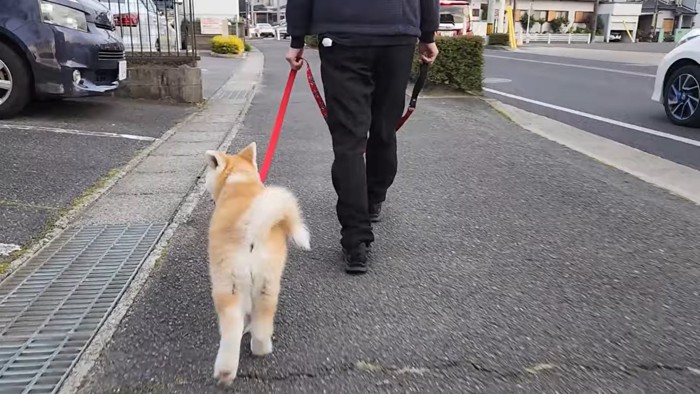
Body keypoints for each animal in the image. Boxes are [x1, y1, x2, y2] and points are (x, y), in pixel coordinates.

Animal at [204, 142, 310, 384]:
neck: (239, 180)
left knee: (232, 328)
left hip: (227, 285)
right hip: (267, 284)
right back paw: (261, 348)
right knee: (262, 324)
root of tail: (252, 230)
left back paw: (225, 371)